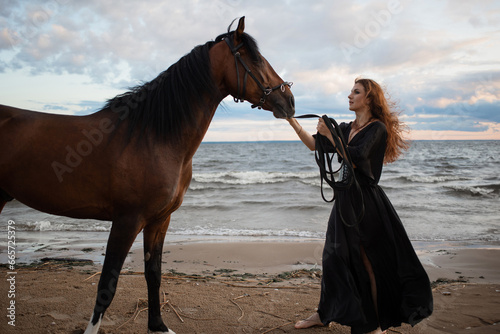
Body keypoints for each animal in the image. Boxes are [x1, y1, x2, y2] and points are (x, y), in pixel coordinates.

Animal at [0, 17, 292, 334]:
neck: (152, 137)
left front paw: (158, 325)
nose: (289, 100)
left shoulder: (159, 220)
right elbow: (108, 283)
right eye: (255, 59)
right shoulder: (127, 221)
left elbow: (154, 274)